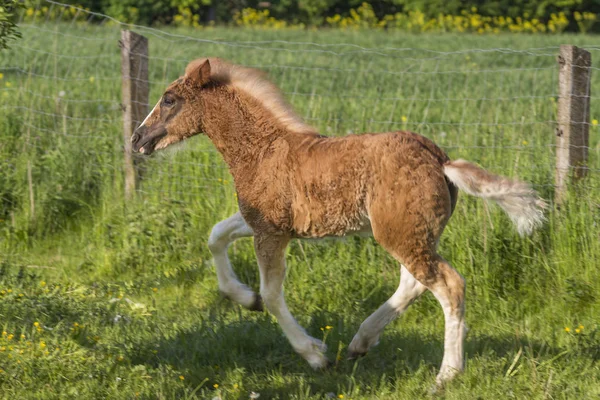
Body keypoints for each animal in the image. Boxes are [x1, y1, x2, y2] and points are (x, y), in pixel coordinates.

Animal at [132, 58, 548, 384]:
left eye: (169, 99)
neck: (262, 149)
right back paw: (360, 343)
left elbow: (273, 294)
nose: (137, 139)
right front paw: (245, 298)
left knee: (448, 285)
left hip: (401, 234)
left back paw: (446, 374)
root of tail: (440, 158)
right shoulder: (264, 222)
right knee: (414, 282)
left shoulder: (270, 233)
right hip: (413, 233)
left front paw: (315, 354)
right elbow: (216, 236)